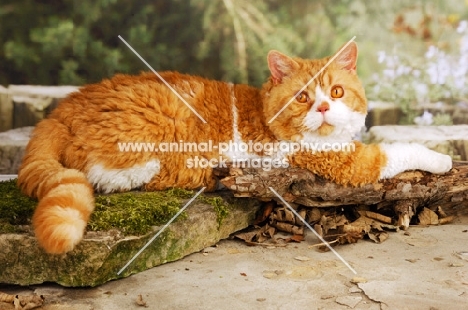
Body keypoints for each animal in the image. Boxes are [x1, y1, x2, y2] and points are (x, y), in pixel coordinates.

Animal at [16, 41, 452, 254]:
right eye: (302, 98)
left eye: (337, 92)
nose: (324, 107)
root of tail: (65, 107)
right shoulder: (342, 162)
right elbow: (395, 150)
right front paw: (443, 158)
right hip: (153, 140)